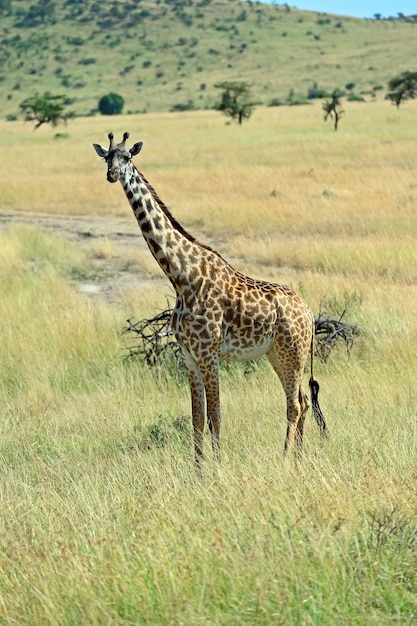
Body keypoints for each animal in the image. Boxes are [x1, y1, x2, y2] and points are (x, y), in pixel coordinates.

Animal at [93, 133, 324, 472]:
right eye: (107, 156)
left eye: (128, 157)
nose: (112, 175)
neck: (181, 277)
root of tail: (309, 312)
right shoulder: (189, 356)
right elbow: (197, 418)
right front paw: (198, 472)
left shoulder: (209, 354)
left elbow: (216, 415)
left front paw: (218, 470)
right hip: (277, 354)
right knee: (304, 402)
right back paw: (299, 460)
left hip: (292, 352)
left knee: (294, 404)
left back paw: (284, 461)